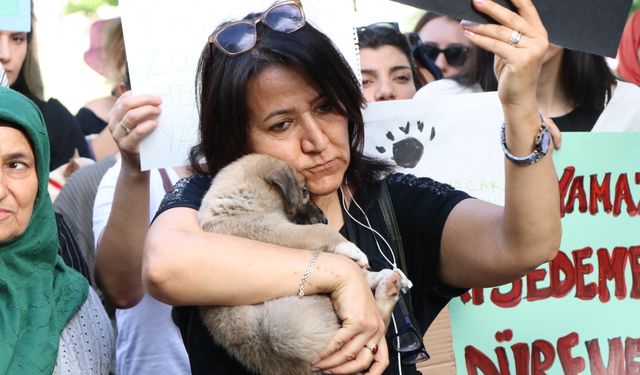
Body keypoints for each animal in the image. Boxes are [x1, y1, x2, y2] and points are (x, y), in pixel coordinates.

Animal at [198, 154, 402, 374]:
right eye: (304, 192)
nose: (325, 218)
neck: (240, 201)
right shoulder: (276, 232)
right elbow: (319, 231)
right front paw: (351, 248)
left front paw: (370, 269)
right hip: (285, 328)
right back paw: (388, 289)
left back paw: (387, 281)